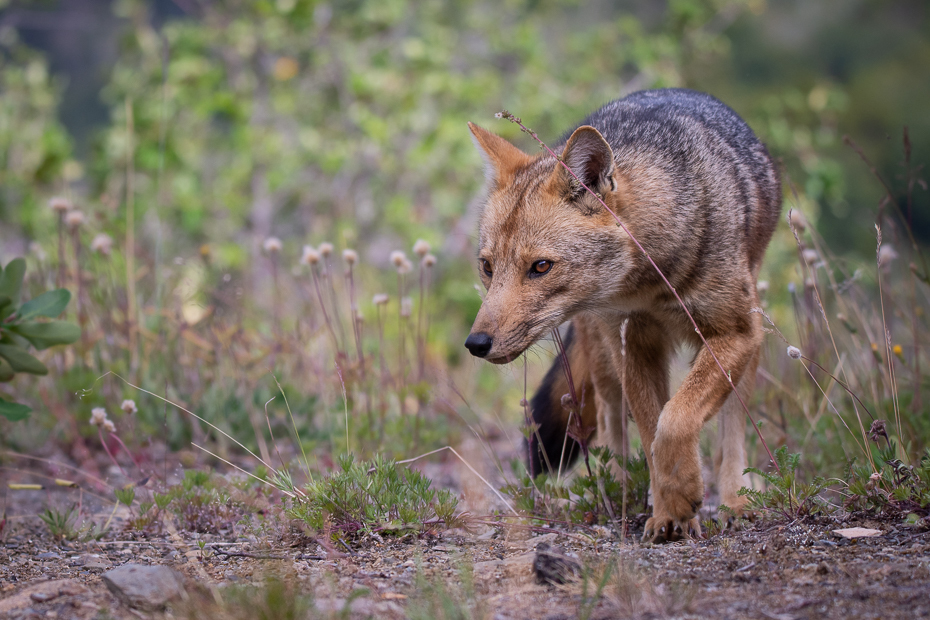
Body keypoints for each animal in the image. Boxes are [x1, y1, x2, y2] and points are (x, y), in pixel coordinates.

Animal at [462, 87, 776, 544]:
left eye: (540, 267)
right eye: (487, 267)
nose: (476, 344)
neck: (651, 283)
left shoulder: (735, 334)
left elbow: (676, 419)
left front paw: (684, 495)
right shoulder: (635, 346)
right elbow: (652, 428)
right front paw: (670, 510)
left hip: (746, 343)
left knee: (731, 429)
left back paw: (736, 501)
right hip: (604, 353)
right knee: (613, 427)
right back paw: (618, 494)